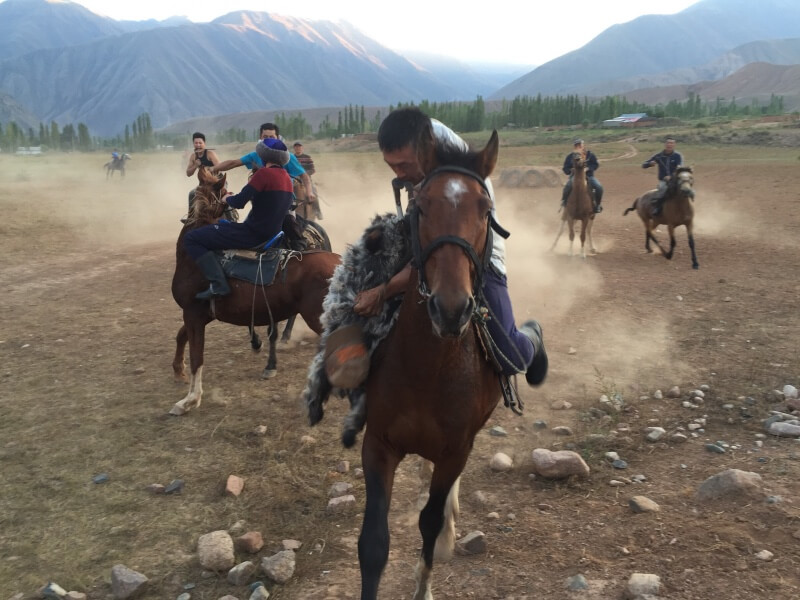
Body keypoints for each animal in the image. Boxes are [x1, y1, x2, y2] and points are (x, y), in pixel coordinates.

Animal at [170, 166, 340, 414]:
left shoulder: (192, 313)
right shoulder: (203, 314)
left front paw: (190, 399)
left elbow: (196, 357)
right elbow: (182, 336)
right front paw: (178, 371)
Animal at [354, 130, 504, 596]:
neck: (427, 369)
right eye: (420, 207)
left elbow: (430, 522)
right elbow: (373, 544)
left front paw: (425, 583)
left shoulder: (456, 450)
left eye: (486, 210)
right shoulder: (378, 445)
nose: (451, 308)